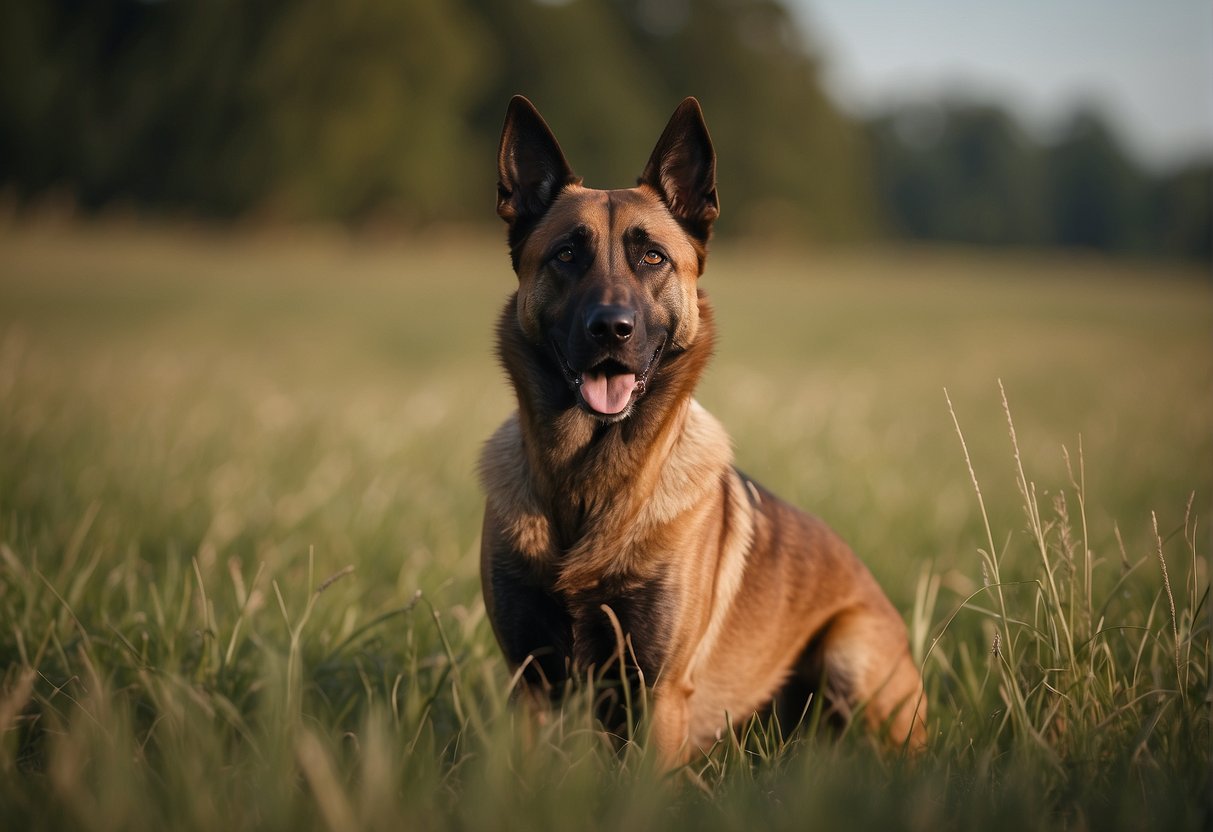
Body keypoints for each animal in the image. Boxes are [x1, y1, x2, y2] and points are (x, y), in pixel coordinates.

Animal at [477, 96, 921, 771]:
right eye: (566, 255)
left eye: (653, 257)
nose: (612, 329)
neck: (587, 481)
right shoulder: (531, 685)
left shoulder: (658, 693)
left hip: (850, 651)